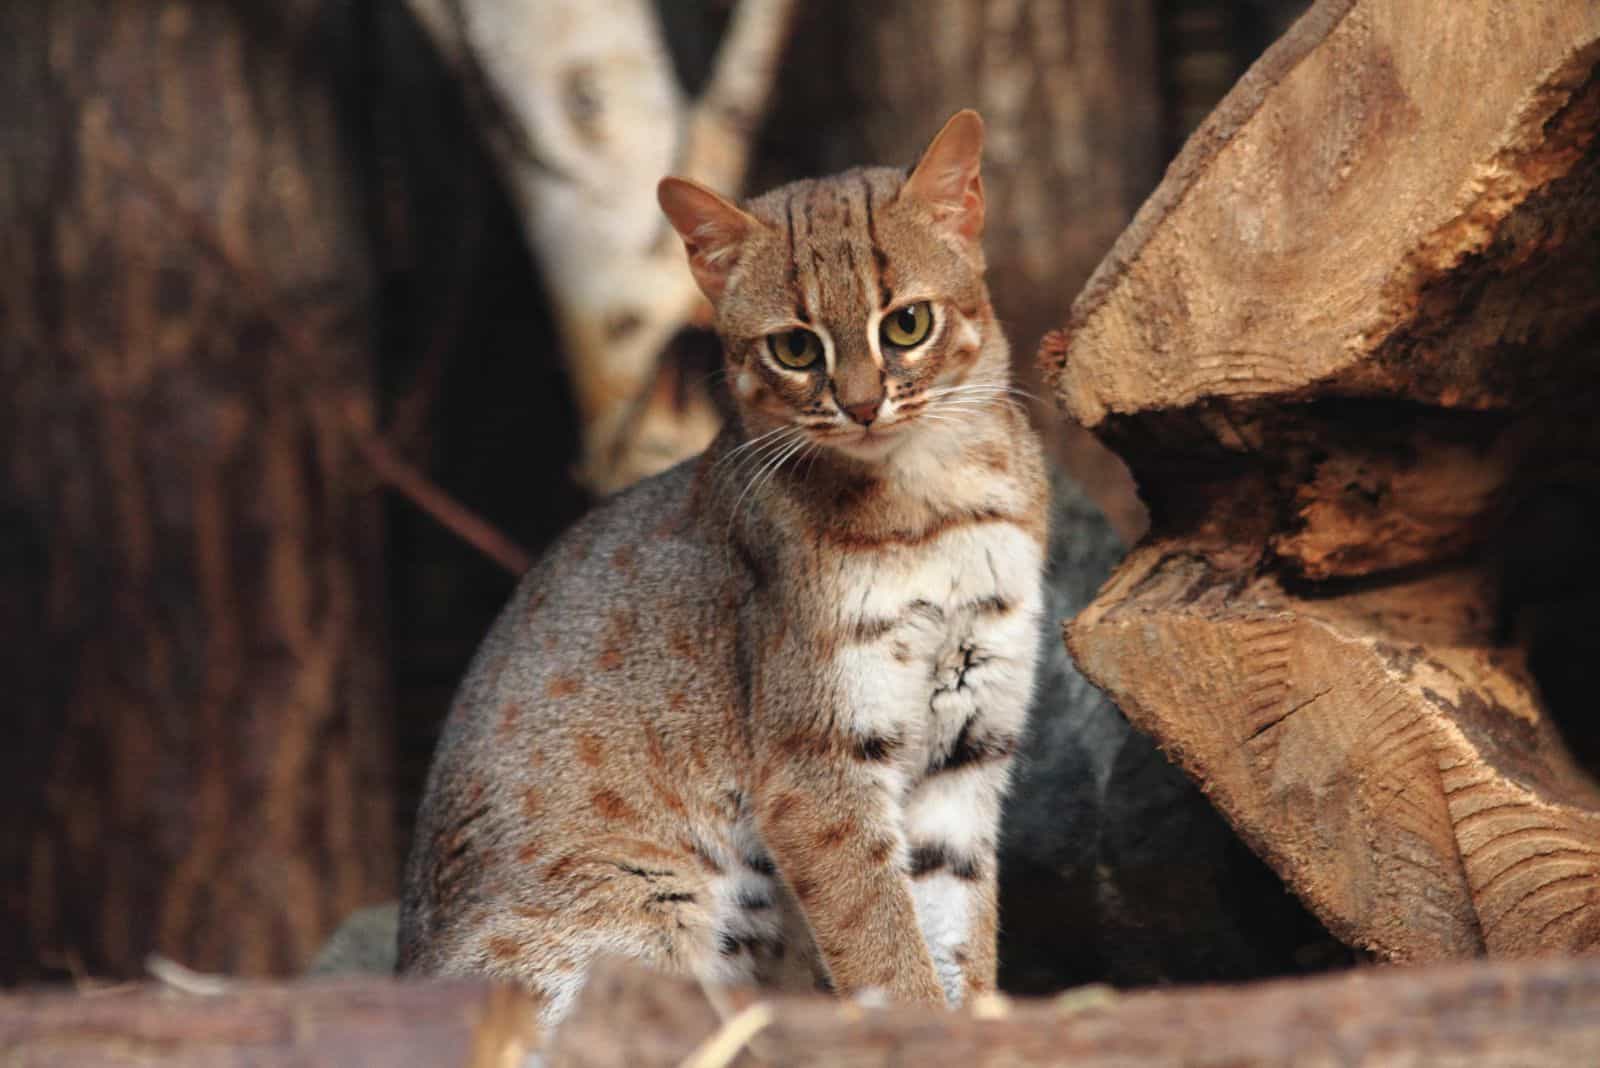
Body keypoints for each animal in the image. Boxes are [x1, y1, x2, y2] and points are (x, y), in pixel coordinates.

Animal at [400, 110, 1049, 1023]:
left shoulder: (970, 742)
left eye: (907, 325)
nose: (861, 407)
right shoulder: (813, 770)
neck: (936, 505)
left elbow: (956, 929)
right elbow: (885, 942)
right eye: (794, 348)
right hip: (648, 899)